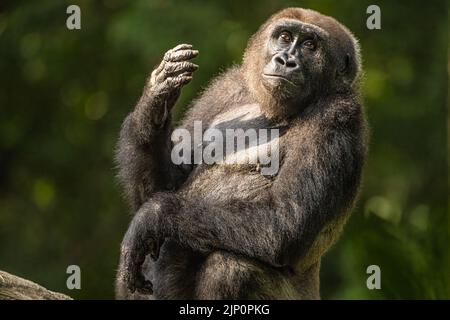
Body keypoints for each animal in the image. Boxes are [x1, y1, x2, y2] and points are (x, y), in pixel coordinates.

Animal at [114, 8, 368, 300]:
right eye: (284, 37)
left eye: (310, 45)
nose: (286, 60)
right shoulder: (225, 87)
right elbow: (162, 186)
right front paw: (155, 101)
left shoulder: (337, 113)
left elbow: (284, 222)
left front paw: (152, 216)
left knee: (232, 267)